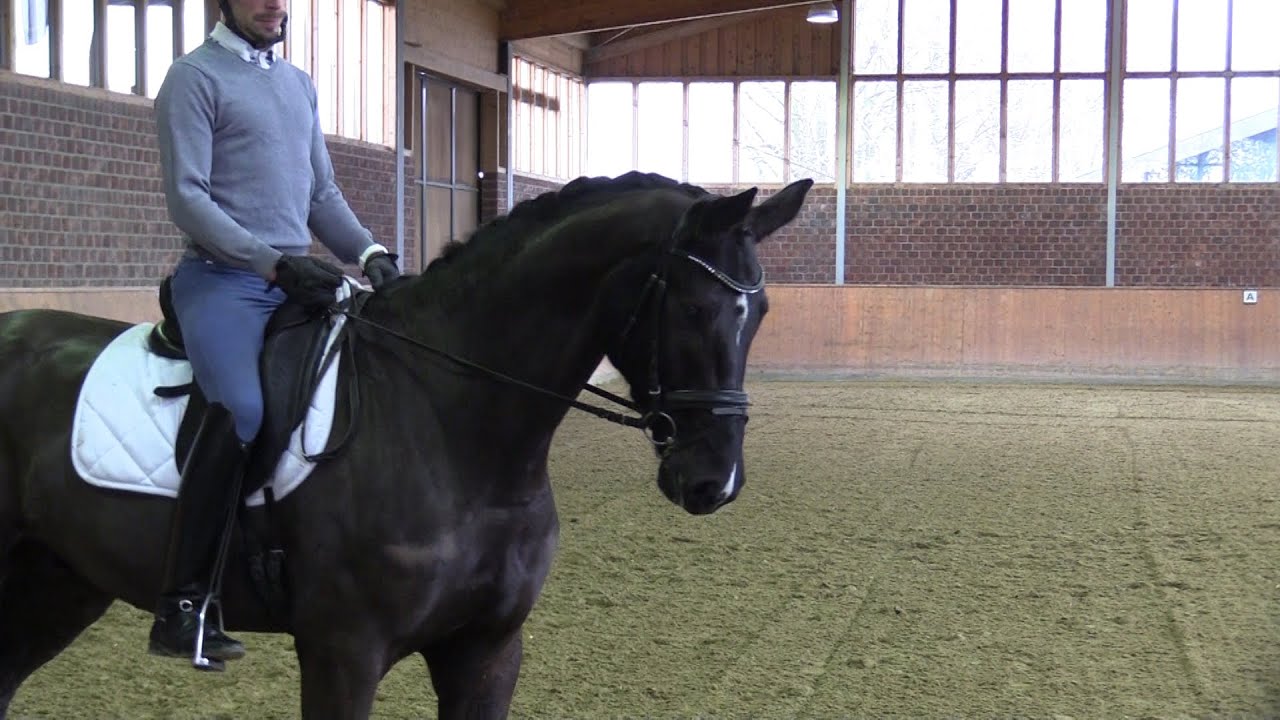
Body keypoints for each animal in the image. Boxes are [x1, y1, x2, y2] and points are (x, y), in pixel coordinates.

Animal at [0, 171, 813, 718]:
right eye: (696, 307)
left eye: (763, 311)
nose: (714, 481)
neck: (457, 429)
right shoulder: (342, 652)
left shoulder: (487, 650)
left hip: (61, 581)